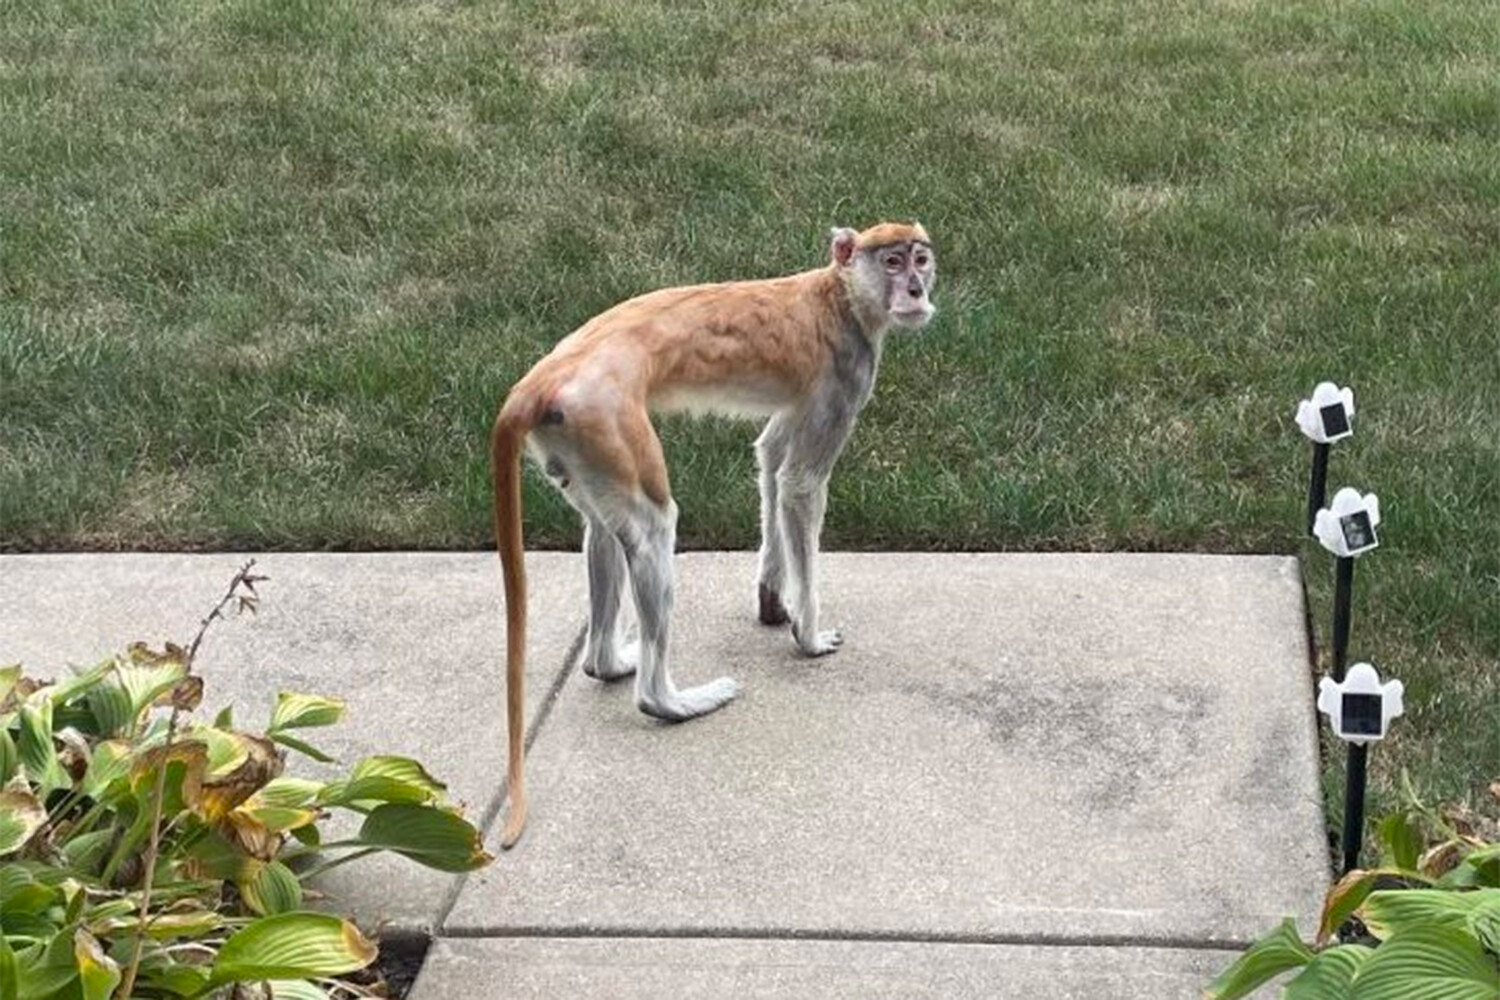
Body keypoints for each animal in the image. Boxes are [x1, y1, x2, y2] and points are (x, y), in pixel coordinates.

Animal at [492, 218, 936, 845]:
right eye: (892, 262)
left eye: (921, 258)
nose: (916, 290)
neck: (840, 294)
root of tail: (541, 381)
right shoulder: (845, 373)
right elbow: (800, 484)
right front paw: (808, 634)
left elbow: (771, 458)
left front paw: (773, 599)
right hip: (606, 421)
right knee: (653, 527)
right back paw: (668, 700)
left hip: (574, 439)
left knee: (603, 530)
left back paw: (608, 662)